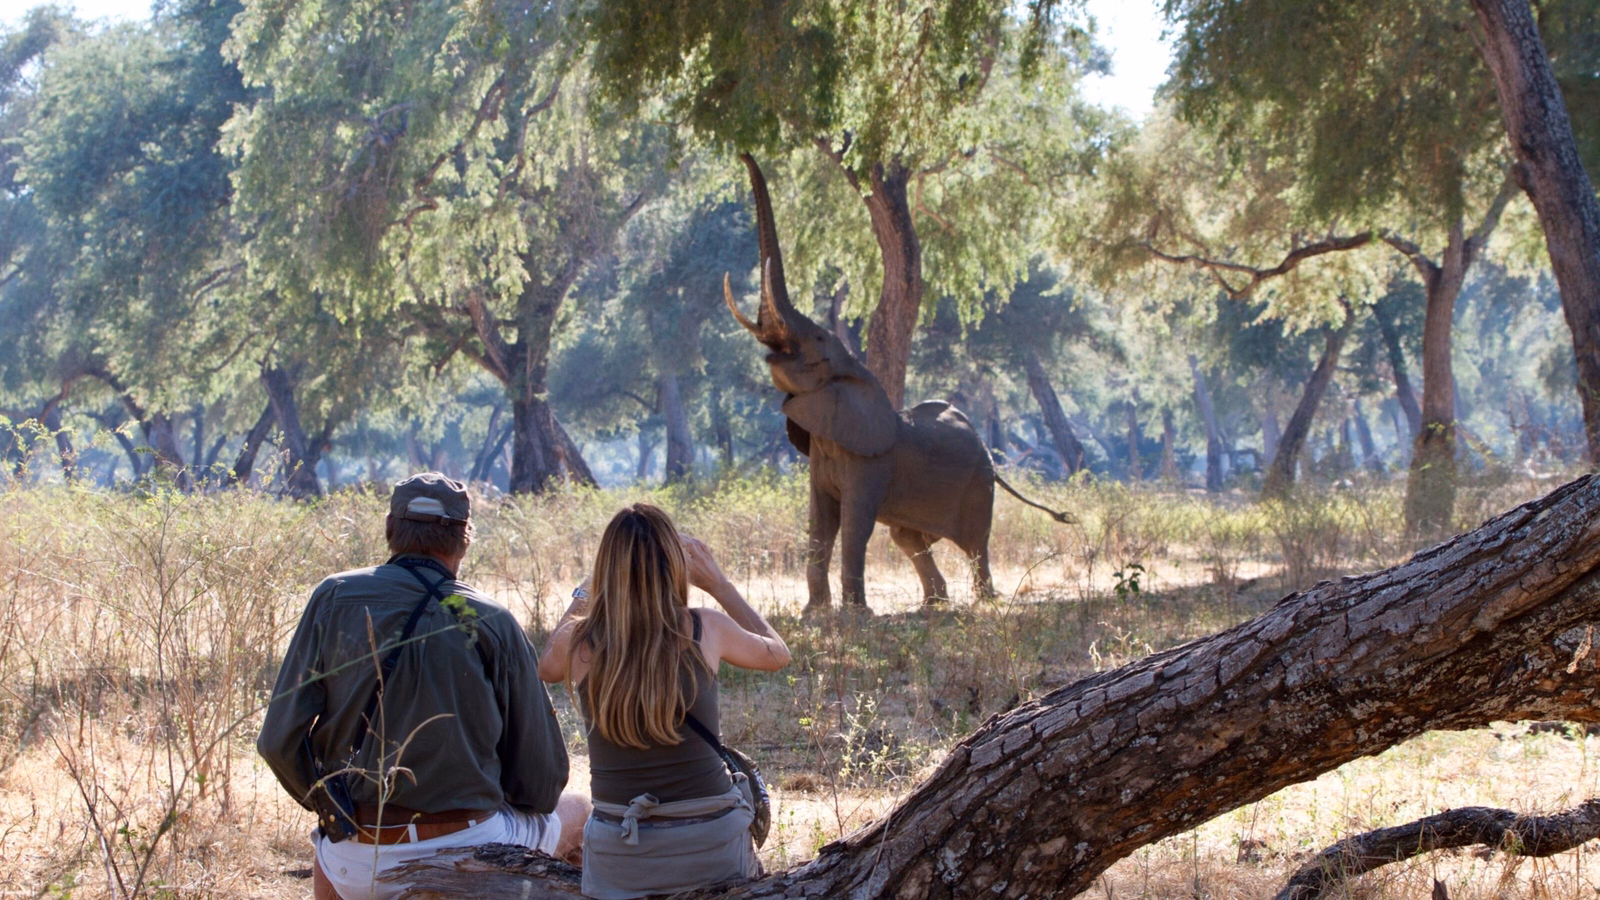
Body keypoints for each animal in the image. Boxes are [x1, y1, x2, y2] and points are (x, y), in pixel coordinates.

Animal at [725, 153, 1072, 613]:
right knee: (908, 538)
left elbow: (854, 522)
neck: (854, 377)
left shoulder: (871, 461)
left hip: (979, 483)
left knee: (975, 543)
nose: (743, 154)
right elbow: (819, 523)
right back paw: (933, 606)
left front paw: (856, 615)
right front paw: (814, 615)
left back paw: (985, 603)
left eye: (816, 340)